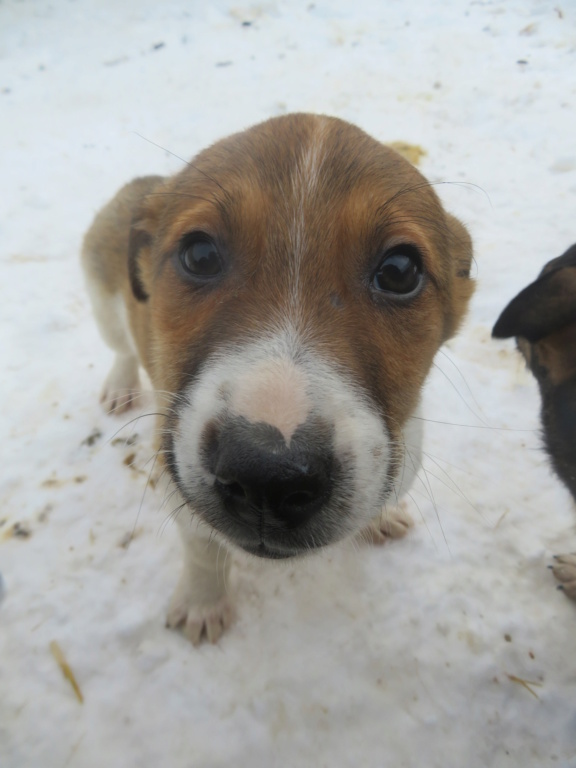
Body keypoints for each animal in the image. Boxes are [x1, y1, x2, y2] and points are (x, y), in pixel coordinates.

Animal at [83, 112, 474, 640]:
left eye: (399, 271)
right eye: (199, 255)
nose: (268, 479)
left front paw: (381, 516)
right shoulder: (175, 476)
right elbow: (203, 553)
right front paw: (203, 604)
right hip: (104, 304)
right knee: (122, 347)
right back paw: (121, 386)